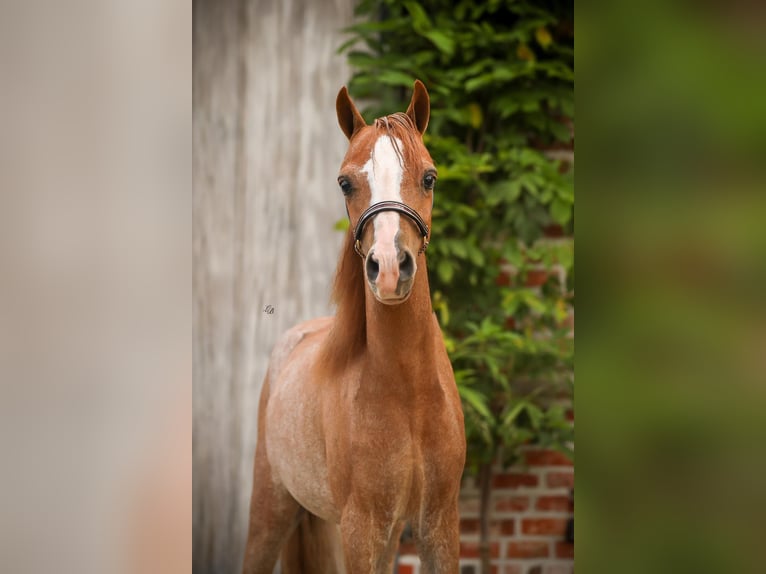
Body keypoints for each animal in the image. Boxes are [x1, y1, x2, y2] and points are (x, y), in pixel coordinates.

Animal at [243, 81, 464, 574]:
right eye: (345, 182)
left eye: (429, 177)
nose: (390, 268)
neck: (409, 390)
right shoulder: (361, 528)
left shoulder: (438, 522)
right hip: (270, 508)